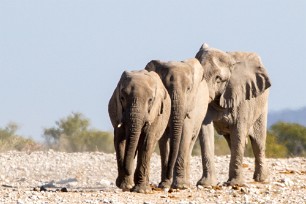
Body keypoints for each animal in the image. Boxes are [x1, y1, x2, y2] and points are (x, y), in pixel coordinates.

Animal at [145, 58, 209, 189]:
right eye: (166, 87)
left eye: (189, 89)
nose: (168, 175)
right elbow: (163, 139)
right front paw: (164, 184)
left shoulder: (190, 107)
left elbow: (184, 135)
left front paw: (180, 185)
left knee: (191, 142)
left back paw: (187, 183)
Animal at [195, 43, 272, 186]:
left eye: (218, 79)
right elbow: (205, 130)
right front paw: (205, 184)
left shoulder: (242, 97)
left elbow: (239, 130)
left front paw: (234, 184)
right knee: (232, 141)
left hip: (261, 107)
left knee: (258, 141)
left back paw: (261, 179)